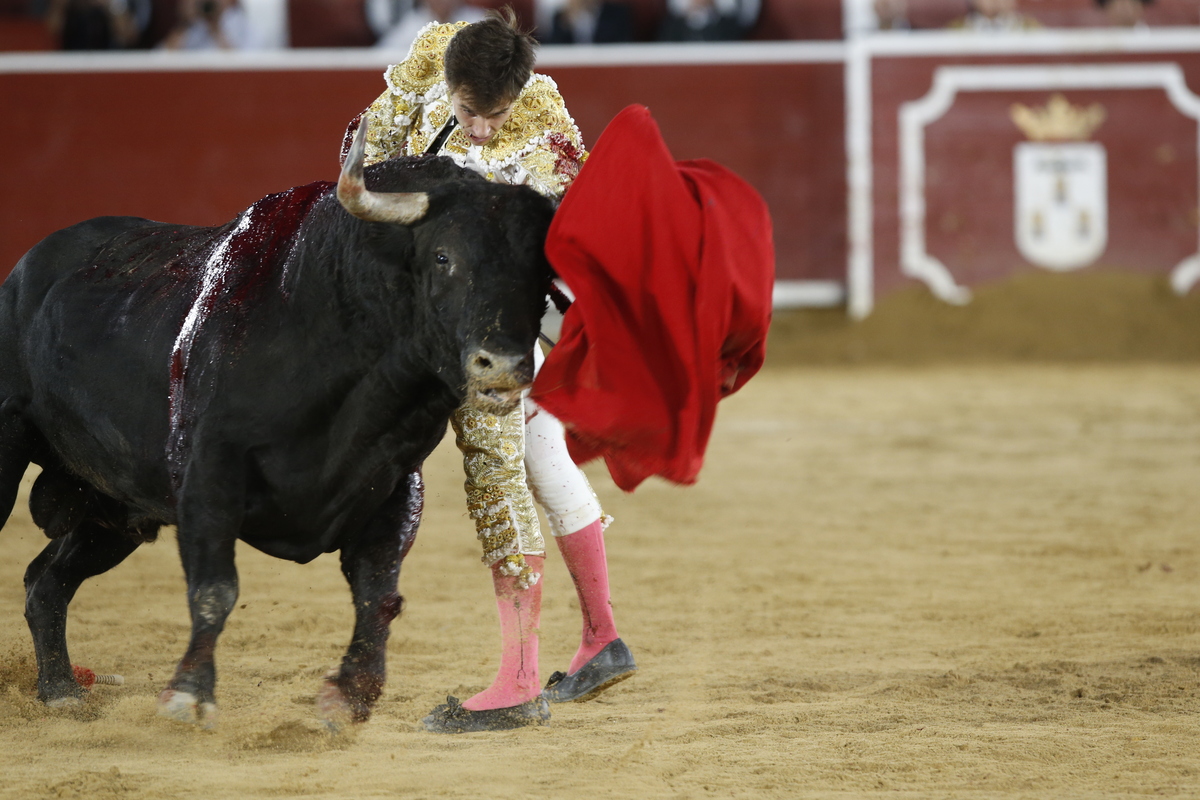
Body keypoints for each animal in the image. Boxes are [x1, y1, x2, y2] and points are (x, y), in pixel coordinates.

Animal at [0, 125, 554, 734]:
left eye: (543, 275)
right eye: (443, 256)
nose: (502, 366)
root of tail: (24, 270)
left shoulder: (394, 484)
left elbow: (378, 594)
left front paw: (350, 694)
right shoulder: (208, 472)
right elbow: (215, 588)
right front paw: (188, 696)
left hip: (115, 510)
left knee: (46, 581)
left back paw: (60, 690)